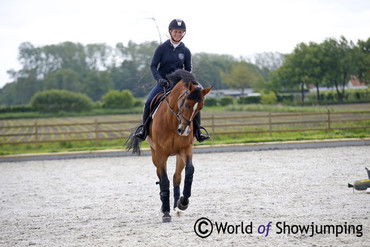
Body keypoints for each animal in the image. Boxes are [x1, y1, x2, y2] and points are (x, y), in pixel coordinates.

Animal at [125, 69, 212, 222]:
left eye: (200, 108)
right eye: (186, 104)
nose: (184, 131)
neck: (172, 121)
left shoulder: (185, 149)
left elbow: (189, 171)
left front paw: (183, 202)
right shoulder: (160, 153)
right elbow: (164, 180)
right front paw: (166, 212)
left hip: (178, 156)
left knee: (177, 177)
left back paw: (177, 206)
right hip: (155, 155)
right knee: (160, 177)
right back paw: (164, 205)